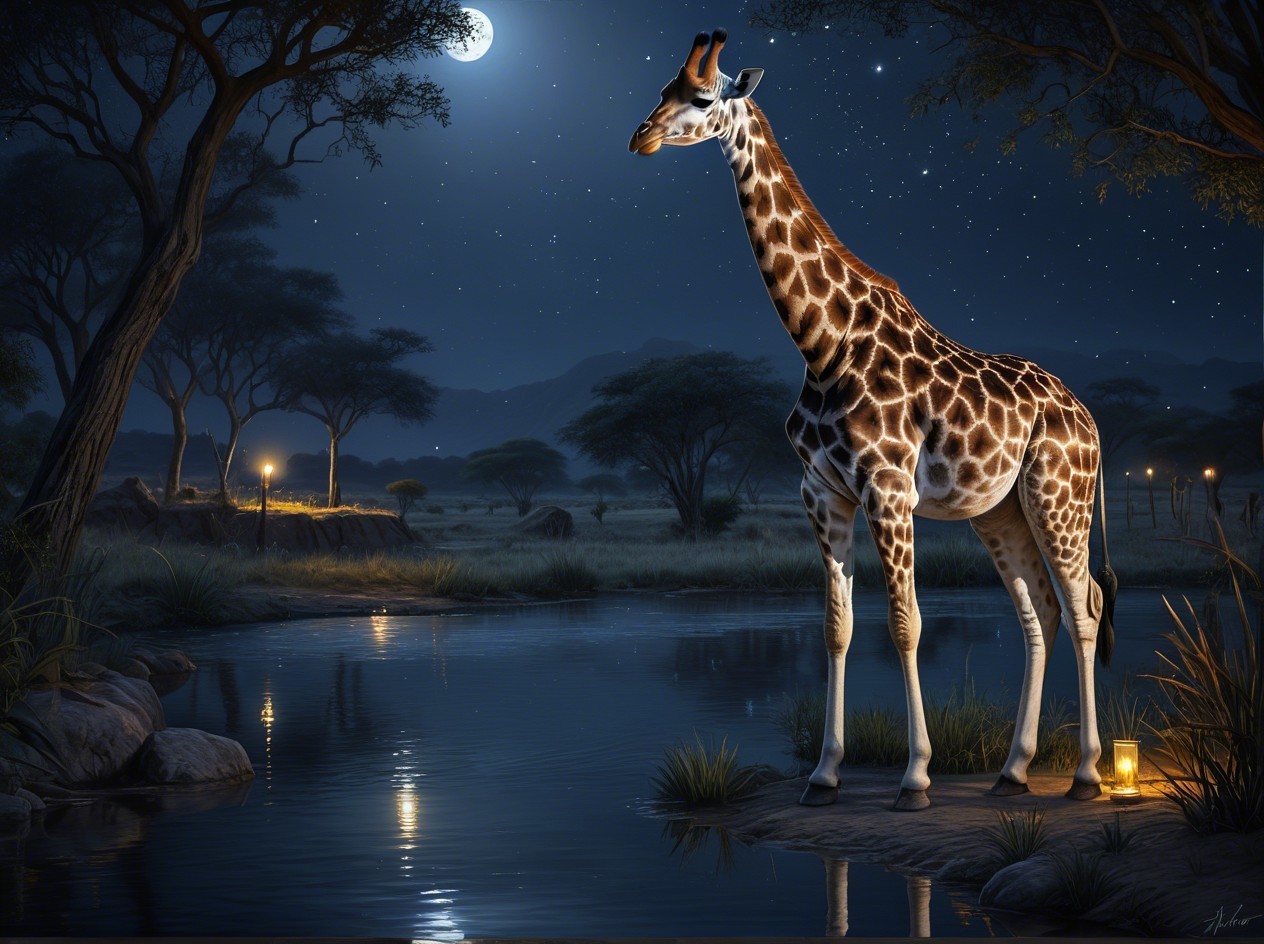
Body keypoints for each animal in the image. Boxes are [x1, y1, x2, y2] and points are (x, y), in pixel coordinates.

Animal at [629, 29, 1117, 811]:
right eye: (662, 88)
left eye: (702, 98)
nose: (640, 136)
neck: (821, 341)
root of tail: (1090, 418)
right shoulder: (821, 493)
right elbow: (837, 626)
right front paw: (824, 774)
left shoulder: (888, 489)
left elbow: (906, 624)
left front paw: (914, 776)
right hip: (999, 509)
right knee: (1038, 612)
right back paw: (1013, 769)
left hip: (1058, 497)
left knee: (1085, 606)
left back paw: (1085, 775)